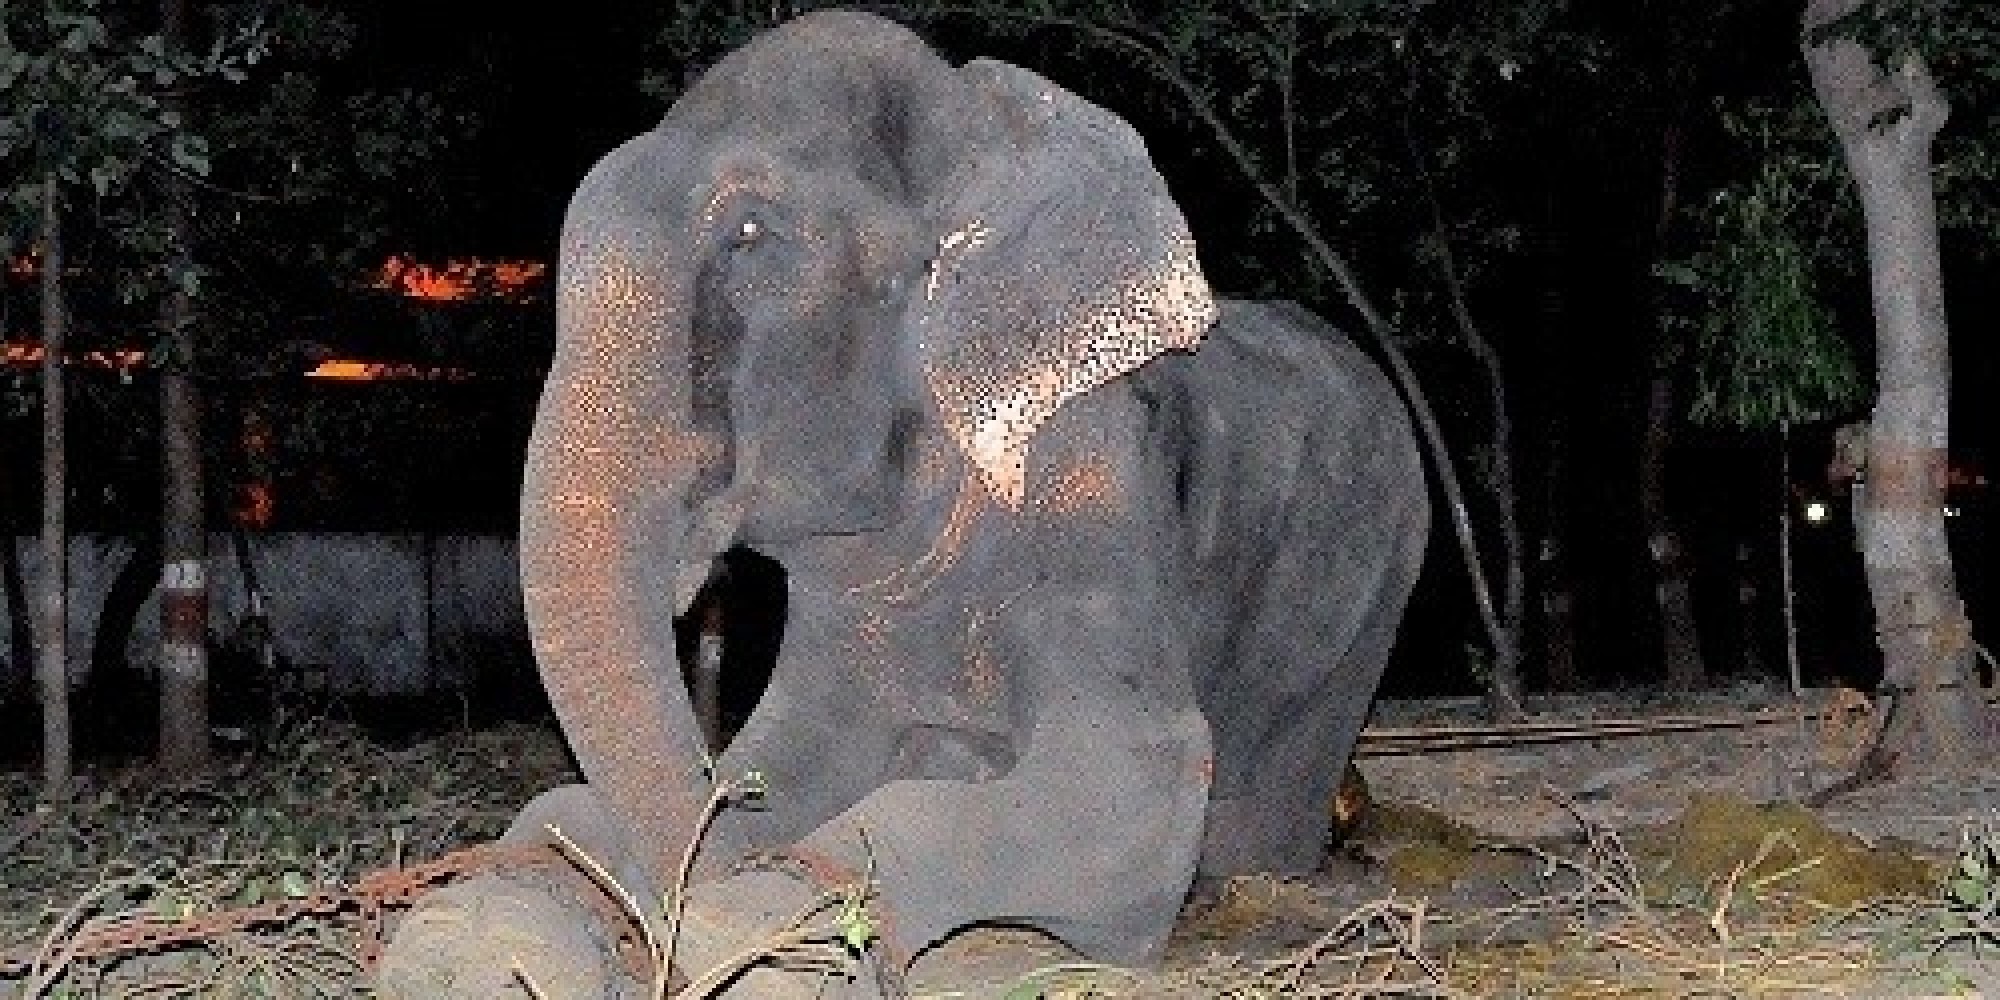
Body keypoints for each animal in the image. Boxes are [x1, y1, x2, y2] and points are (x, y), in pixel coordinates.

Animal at [377, 9, 1428, 998]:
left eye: (750, 234)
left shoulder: (1095, 486)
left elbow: (1132, 778)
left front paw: (759, 936)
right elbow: (785, 756)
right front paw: (476, 935)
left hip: (1373, 597)